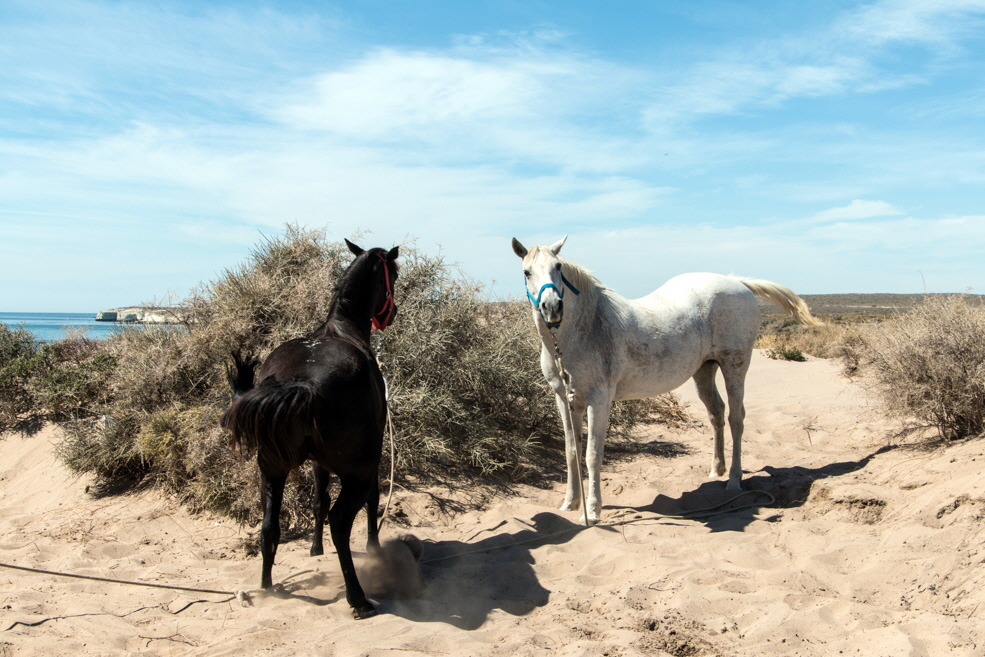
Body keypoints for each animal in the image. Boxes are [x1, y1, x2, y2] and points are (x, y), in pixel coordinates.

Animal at [221, 238, 398, 616]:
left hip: (271, 468)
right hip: (357, 472)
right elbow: (372, 501)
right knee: (341, 520)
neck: (345, 327)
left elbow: (317, 499)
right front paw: (374, 549)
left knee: (269, 527)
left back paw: (268, 588)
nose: (389, 316)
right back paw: (358, 598)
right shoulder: (371, 461)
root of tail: (305, 384)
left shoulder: (318, 462)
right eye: (394, 272)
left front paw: (315, 549)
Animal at [512, 234, 820, 524]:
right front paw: (570, 503)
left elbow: (592, 455)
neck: (583, 330)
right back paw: (716, 470)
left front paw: (593, 511)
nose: (553, 308)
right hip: (704, 369)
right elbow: (571, 451)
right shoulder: (565, 400)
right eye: (526, 272)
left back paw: (734, 480)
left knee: (736, 418)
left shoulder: (599, 400)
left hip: (735, 366)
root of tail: (738, 283)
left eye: (558, 267)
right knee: (716, 413)